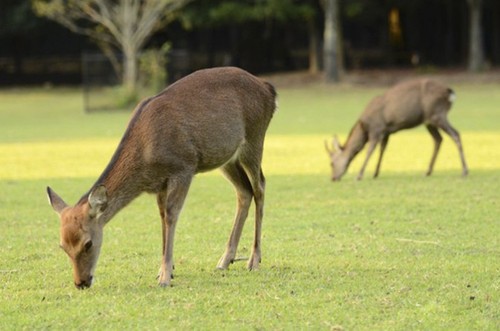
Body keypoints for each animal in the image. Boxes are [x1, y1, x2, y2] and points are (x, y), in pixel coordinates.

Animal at [46, 67, 278, 290]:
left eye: (88, 243)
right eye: (62, 246)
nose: (81, 283)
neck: (146, 159)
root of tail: (269, 90)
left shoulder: (183, 167)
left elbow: (171, 215)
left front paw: (165, 277)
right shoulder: (159, 184)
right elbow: (161, 217)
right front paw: (163, 271)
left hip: (254, 138)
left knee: (260, 187)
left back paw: (254, 260)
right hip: (226, 158)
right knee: (244, 191)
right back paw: (224, 260)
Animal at [324, 78, 468, 182]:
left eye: (331, 163)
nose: (333, 178)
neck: (364, 127)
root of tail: (450, 92)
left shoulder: (376, 129)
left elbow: (369, 151)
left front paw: (359, 175)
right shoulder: (386, 131)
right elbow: (382, 149)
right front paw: (375, 173)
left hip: (437, 114)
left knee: (455, 134)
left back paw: (464, 171)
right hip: (429, 120)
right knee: (438, 139)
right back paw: (428, 171)